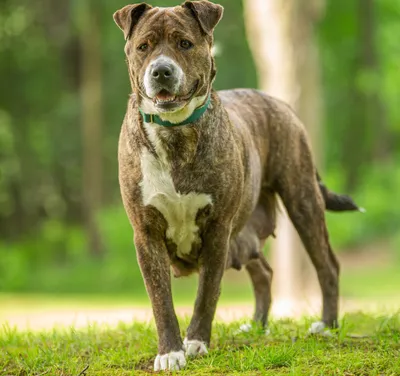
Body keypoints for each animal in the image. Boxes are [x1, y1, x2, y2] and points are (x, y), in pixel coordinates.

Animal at [113, 0, 362, 370]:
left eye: (185, 43)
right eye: (144, 46)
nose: (161, 71)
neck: (176, 133)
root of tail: (279, 102)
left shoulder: (217, 229)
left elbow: (207, 293)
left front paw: (196, 342)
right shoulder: (147, 234)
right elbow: (161, 300)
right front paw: (170, 352)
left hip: (302, 199)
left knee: (326, 265)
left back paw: (327, 325)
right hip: (246, 233)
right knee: (264, 273)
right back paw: (257, 326)